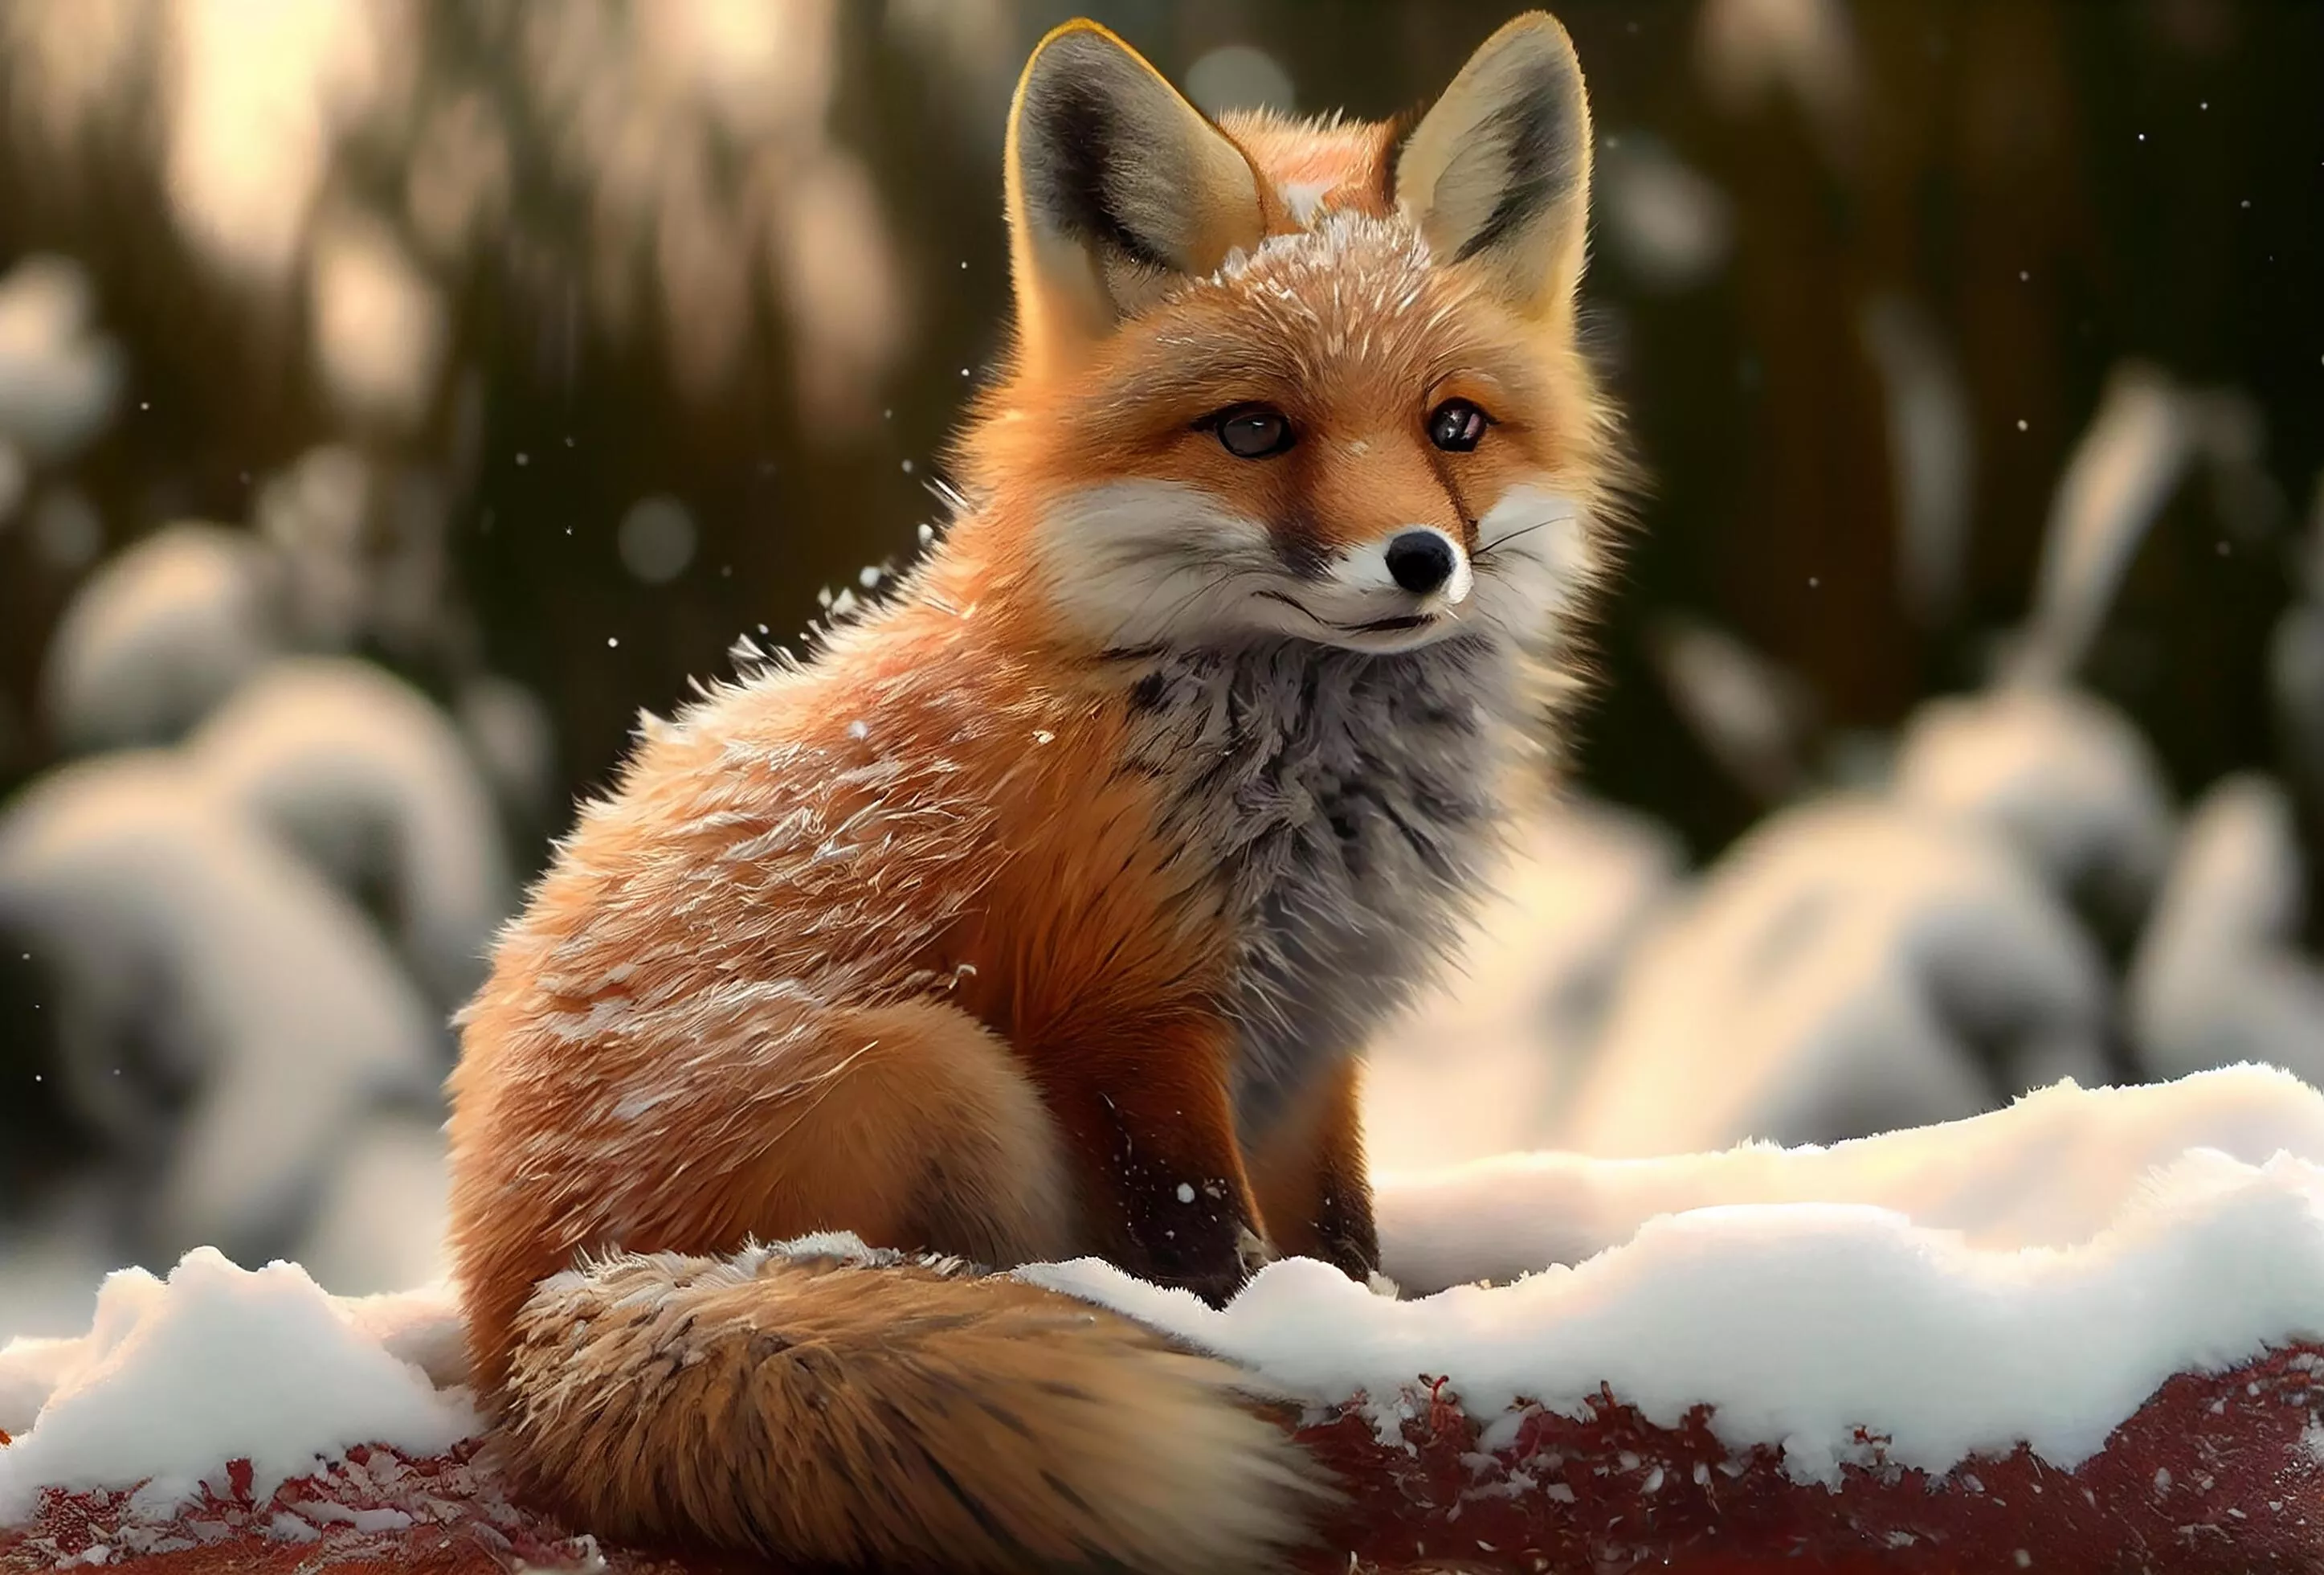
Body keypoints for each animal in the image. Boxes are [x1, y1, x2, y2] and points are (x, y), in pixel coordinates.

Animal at [446, 11, 1623, 1573]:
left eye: (1453, 425)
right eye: (1254, 432)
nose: (1419, 561)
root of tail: (523, 1325)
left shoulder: (1312, 1042)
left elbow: (1341, 1242)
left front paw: (1369, 1331)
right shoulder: (1123, 1017)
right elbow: (1215, 1254)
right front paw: (1281, 1351)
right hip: (935, 1074)